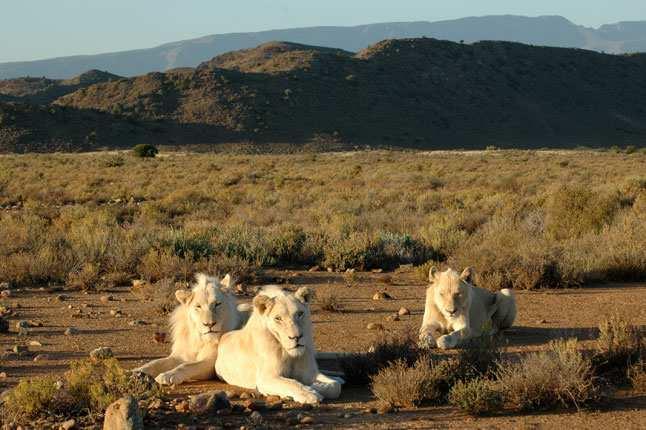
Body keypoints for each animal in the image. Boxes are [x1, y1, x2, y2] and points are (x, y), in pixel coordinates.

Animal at [215, 286, 344, 404]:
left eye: (300, 314)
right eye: (278, 318)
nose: (296, 337)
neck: (290, 354)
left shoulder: (309, 372)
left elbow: (335, 386)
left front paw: (317, 385)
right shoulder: (266, 378)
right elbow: (292, 383)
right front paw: (310, 393)